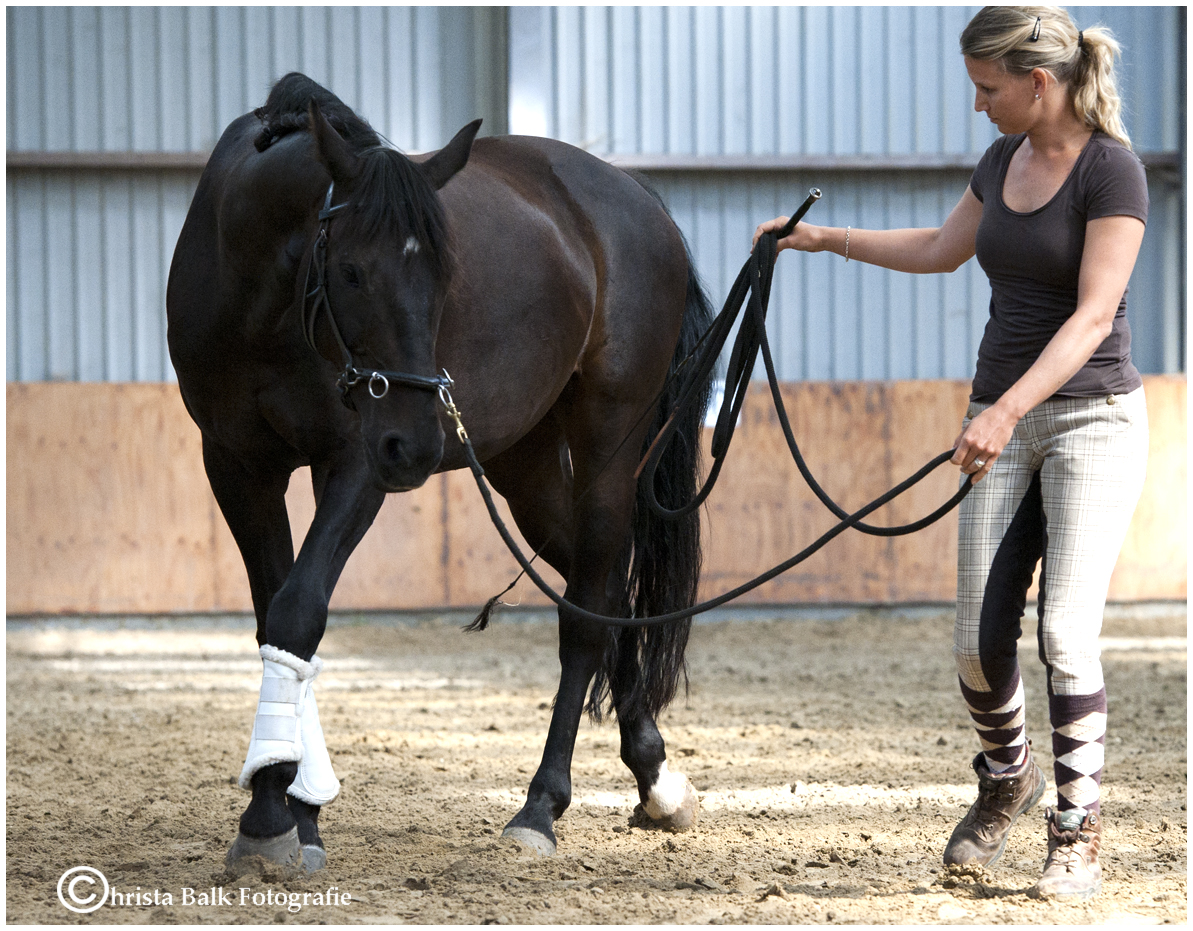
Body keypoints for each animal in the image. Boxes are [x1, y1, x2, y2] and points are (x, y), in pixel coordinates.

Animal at [164, 74, 711, 873]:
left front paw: (272, 819)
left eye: (447, 274)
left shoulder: (354, 462)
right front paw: (291, 807)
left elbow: (300, 610)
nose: (418, 443)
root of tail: (638, 200)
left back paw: (540, 807)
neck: (260, 294)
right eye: (352, 271)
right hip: (525, 467)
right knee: (599, 588)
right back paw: (654, 773)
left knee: (586, 610)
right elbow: (277, 619)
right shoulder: (236, 465)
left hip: (610, 439)